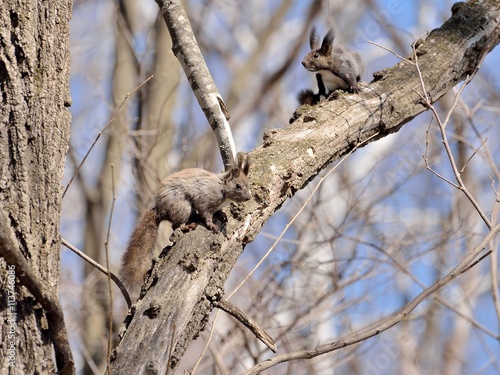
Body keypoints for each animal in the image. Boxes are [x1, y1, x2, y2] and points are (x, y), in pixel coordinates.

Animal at [120, 154, 252, 296]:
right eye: (238, 186)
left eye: (248, 184)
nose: (248, 198)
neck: (221, 188)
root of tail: (160, 209)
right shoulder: (205, 201)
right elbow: (206, 214)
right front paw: (211, 225)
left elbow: (217, 211)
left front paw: (222, 214)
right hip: (182, 207)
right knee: (175, 226)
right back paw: (187, 226)